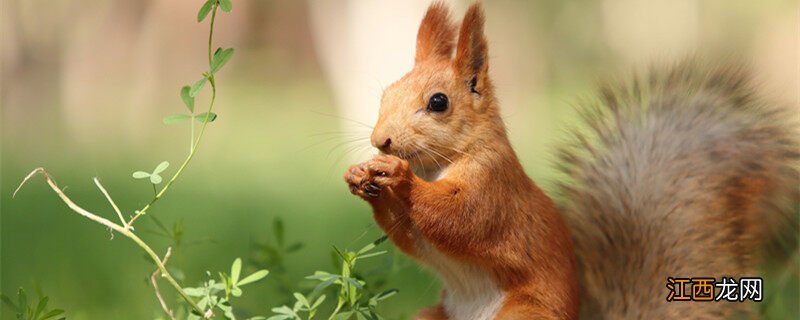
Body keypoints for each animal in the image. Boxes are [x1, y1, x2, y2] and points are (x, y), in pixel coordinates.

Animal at [342, 2, 792, 320]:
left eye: (439, 103)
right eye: (387, 94)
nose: (380, 141)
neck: (438, 166)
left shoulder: (494, 186)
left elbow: (461, 218)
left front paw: (399, 176)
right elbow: (409, 236)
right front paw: (360, 176)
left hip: (526, 315)